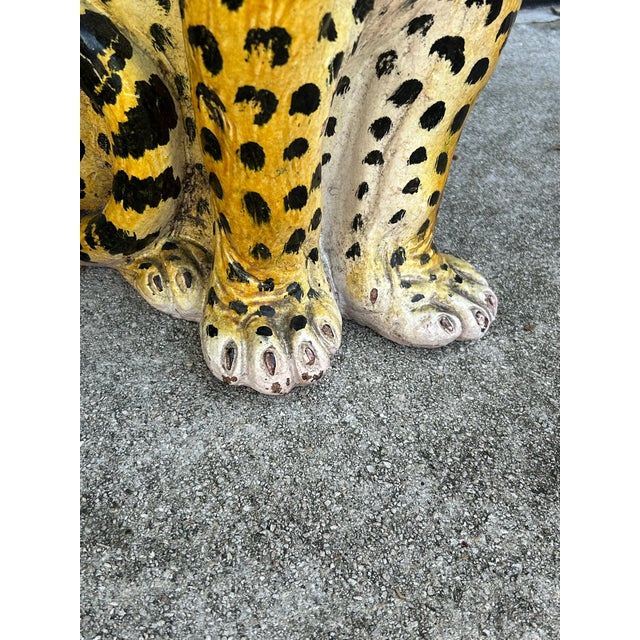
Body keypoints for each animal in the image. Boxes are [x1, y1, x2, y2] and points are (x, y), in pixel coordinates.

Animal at [80, 0, 522, 395]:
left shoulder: (475, 17)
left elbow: (421, 148)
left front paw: (425, 287)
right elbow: (267, 185)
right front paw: (272, 326)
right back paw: (174, 262)